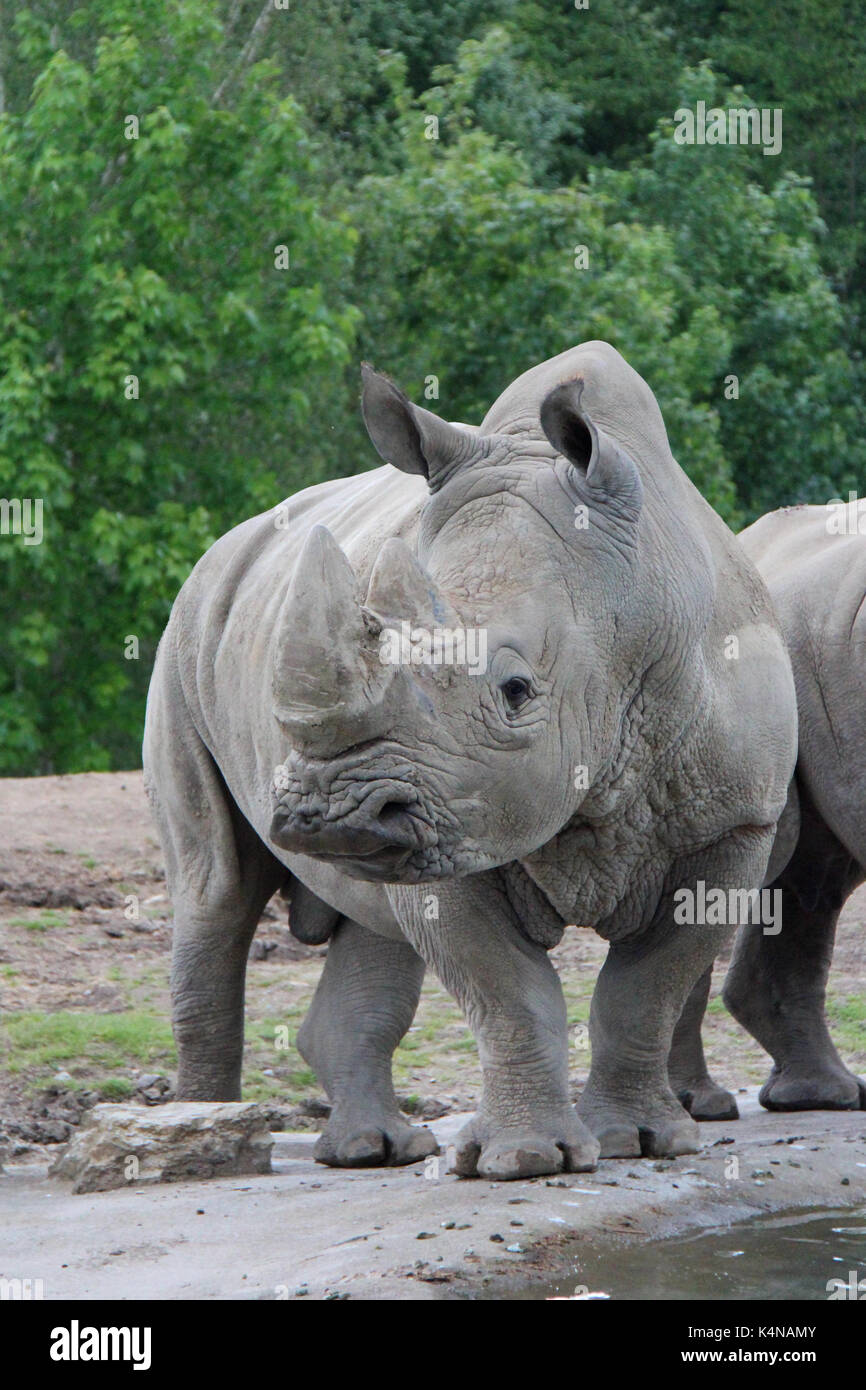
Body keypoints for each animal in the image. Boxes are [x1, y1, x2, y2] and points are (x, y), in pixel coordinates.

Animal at [143, 341, 800, 1178]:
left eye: (516, 691)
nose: (333, 816)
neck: (629, 604)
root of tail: (226, 547)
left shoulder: (734, 822)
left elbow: (646, 989)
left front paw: (643, 1142)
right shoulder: (457, 814)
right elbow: (508, 992)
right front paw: (529, 1159)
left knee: (368, 925)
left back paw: (372, 1151)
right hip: (185, 634)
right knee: (215, 891)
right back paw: (204, 1143)